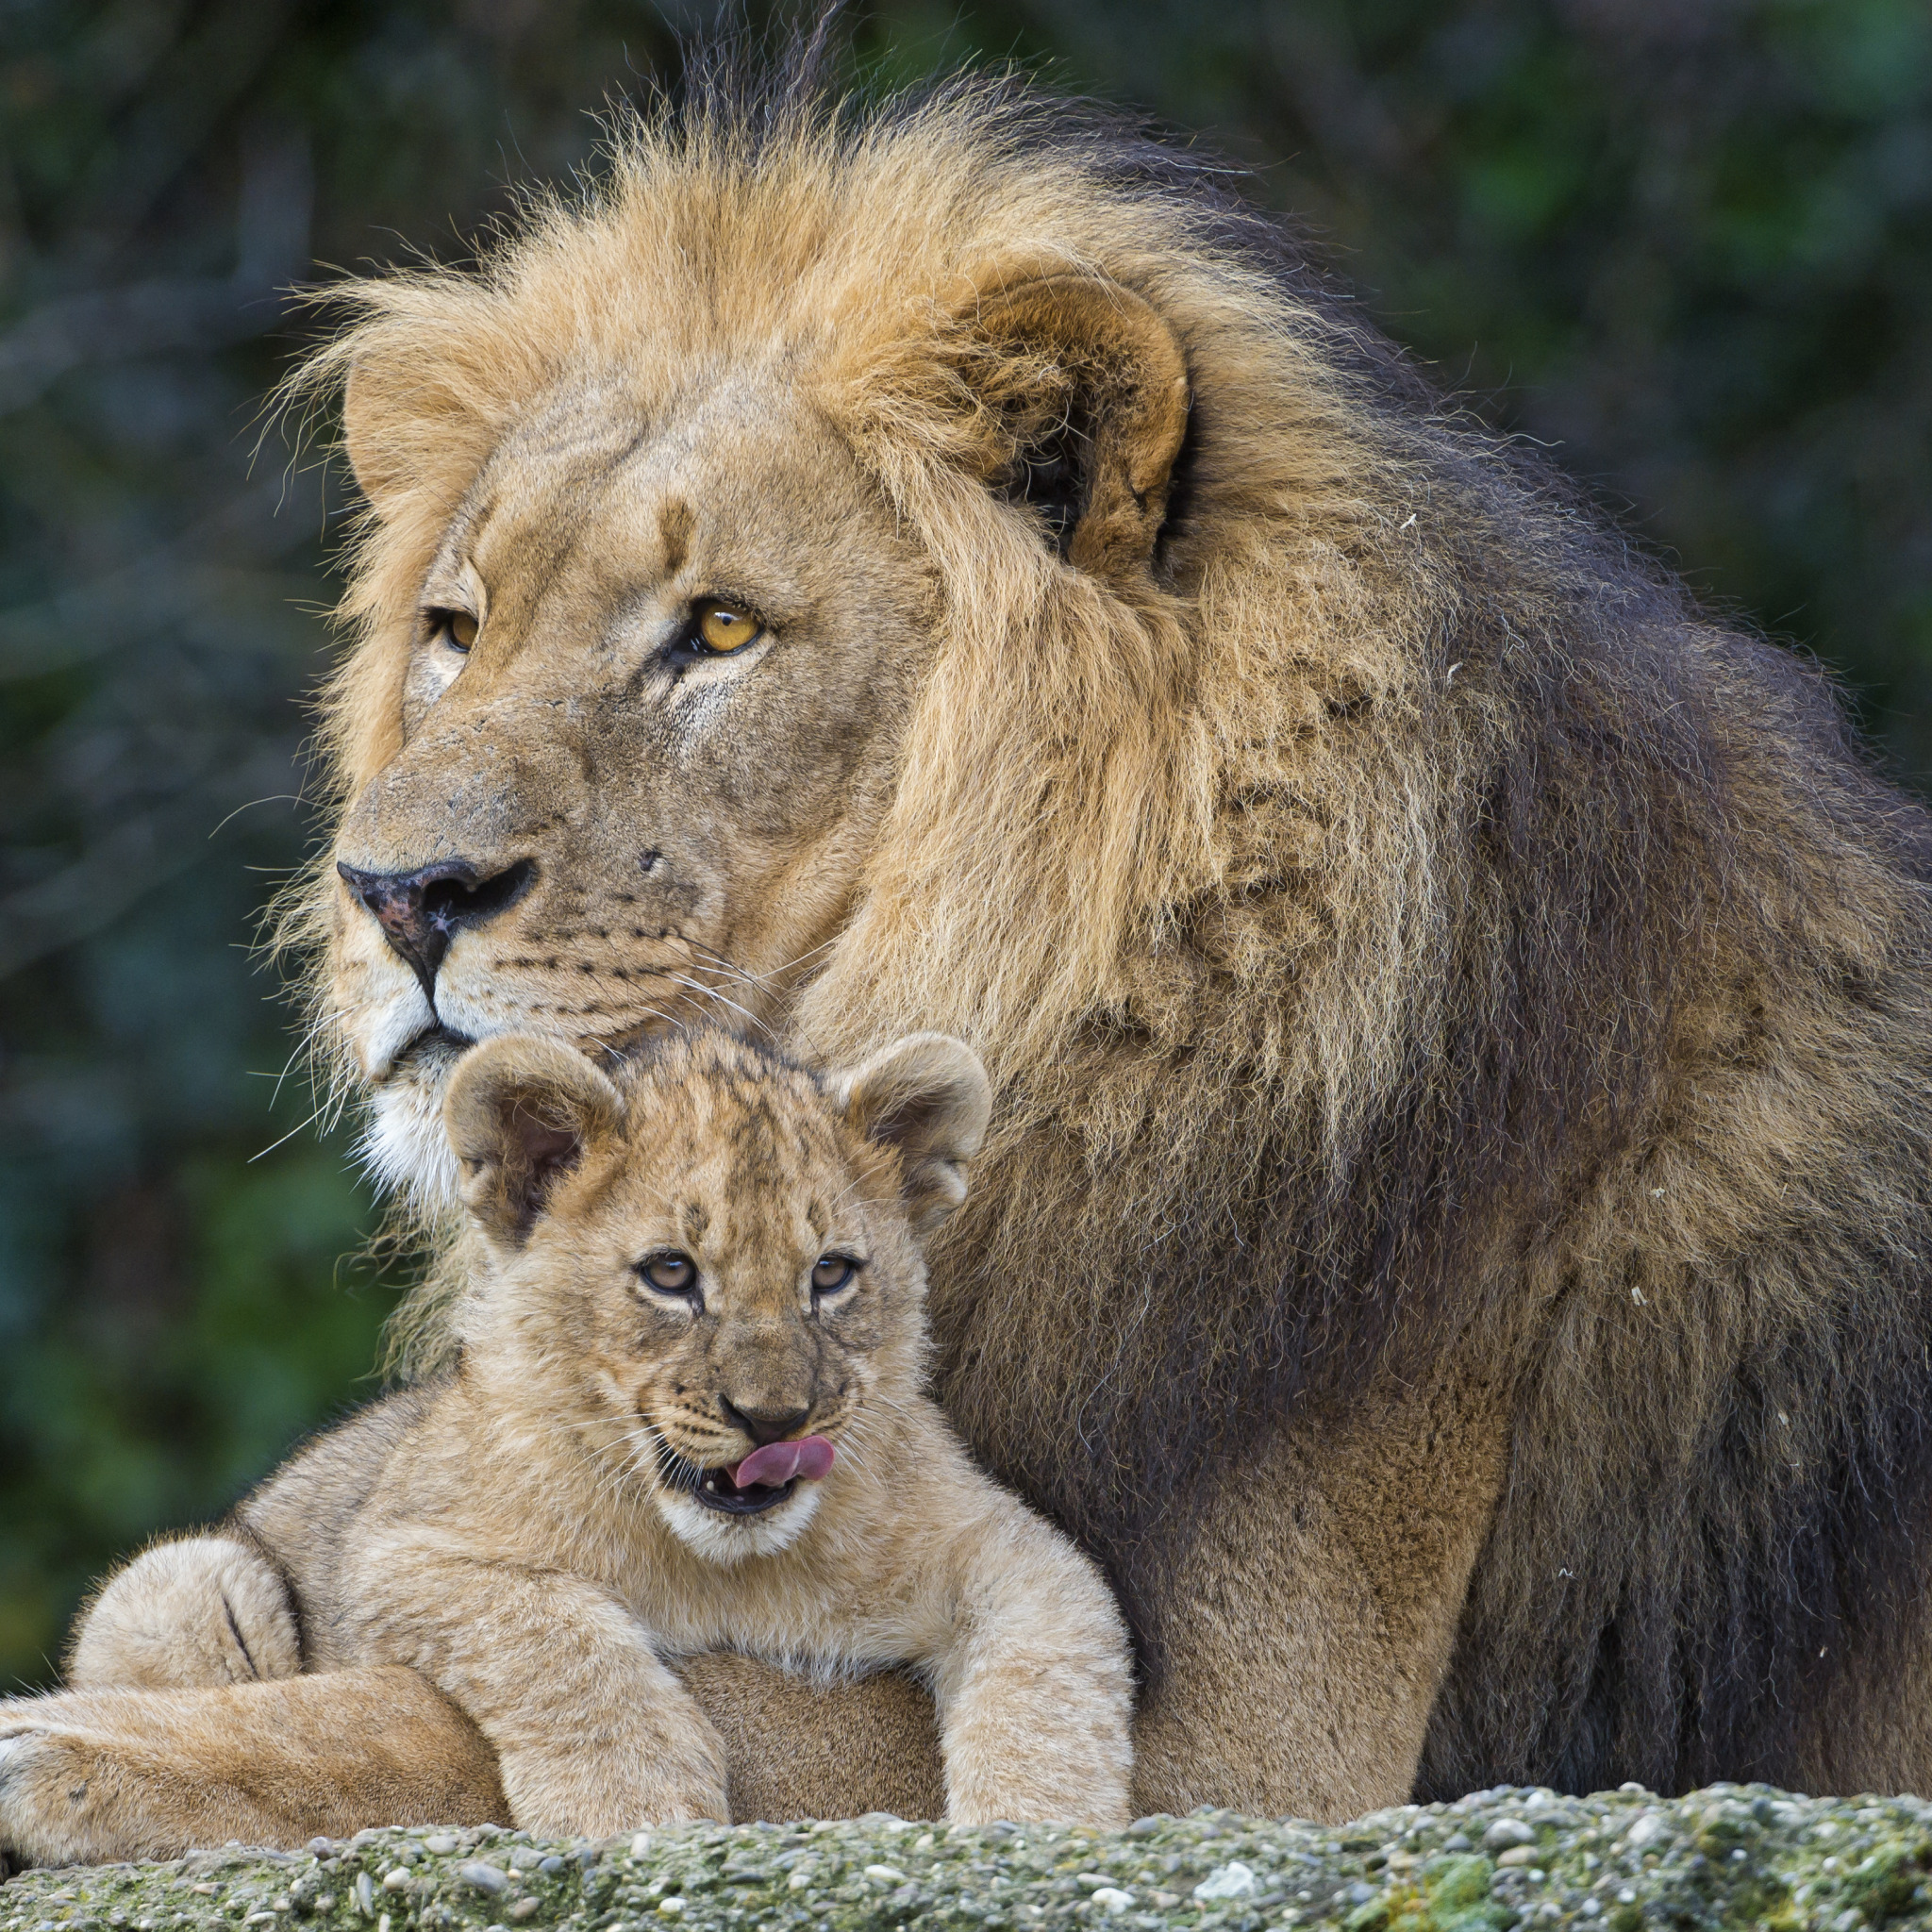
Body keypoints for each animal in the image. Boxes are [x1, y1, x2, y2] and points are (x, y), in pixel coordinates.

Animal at [4, 60, 1932, 1855]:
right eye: (456, 630)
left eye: (719, 631)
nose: (396, 893)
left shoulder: (1258, 1746)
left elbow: (582, 1701)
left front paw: (71, 1743)